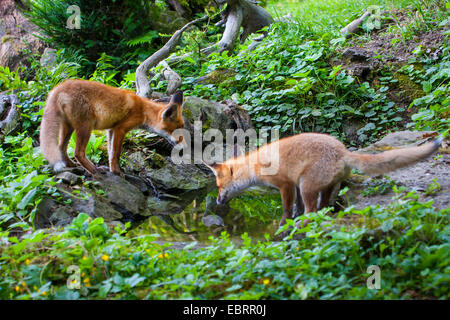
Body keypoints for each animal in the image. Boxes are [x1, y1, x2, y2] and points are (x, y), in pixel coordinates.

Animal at [40, 79, 185, 175]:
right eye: (177, 132)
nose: (184, 148)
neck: (143, 110)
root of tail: (59, 87)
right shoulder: (120, 129)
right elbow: (116, 153)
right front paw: (117, 171)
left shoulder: (111, 129)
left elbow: (110, 153)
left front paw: (112, 169)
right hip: (85, 127)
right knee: (78, 152)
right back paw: (93, 170)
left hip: (69, 127)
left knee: (61, 148)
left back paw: (71, 165)